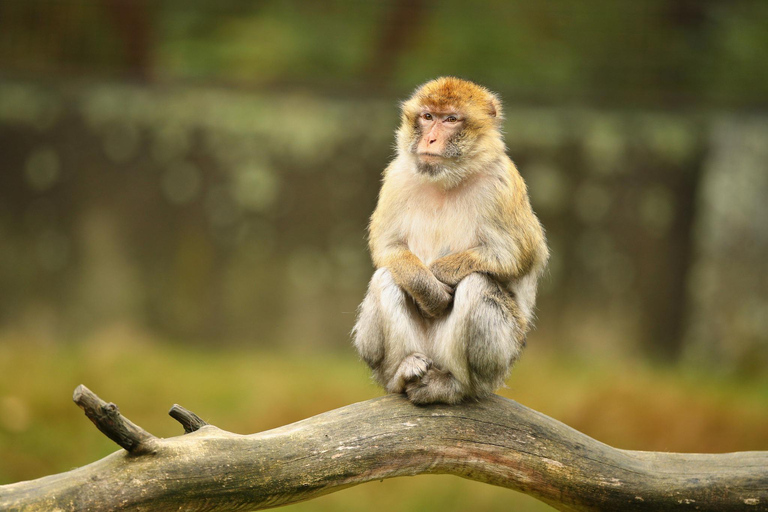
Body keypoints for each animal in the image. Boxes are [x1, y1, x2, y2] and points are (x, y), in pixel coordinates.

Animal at [352, 77, 548, 404]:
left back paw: (454, 385)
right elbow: (387, 248)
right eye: (428, 116)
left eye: (451, 120)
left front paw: (441, 273)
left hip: (500, 358)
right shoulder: (396, 176)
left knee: (477, 283)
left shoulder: (501, 181)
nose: (430, 139)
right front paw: (427, 286)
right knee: (388, 276)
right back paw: (403, 372)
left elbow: (518, 254)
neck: (446, 179)